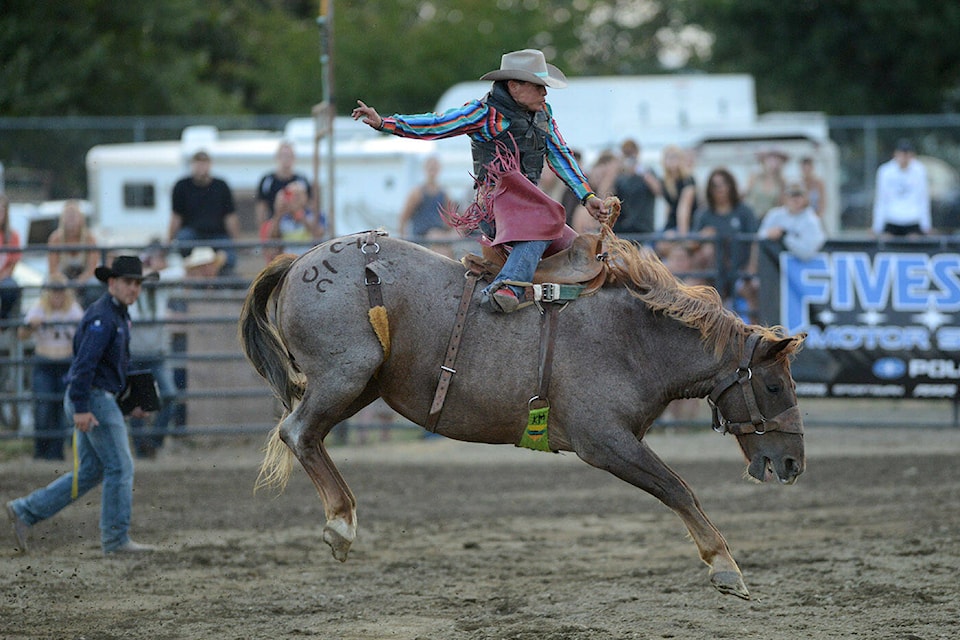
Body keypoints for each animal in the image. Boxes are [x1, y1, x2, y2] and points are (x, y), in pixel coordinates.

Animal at [238, 231, 804, 600]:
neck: (634, 339)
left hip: (362, 384)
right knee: (297, 432)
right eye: (775, 385)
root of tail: (301, 261)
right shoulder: (605, 441)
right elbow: (677, 488)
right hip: (345, 375)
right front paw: (726, 567)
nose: (794, 463)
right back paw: (340, 524)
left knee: (309, 435)